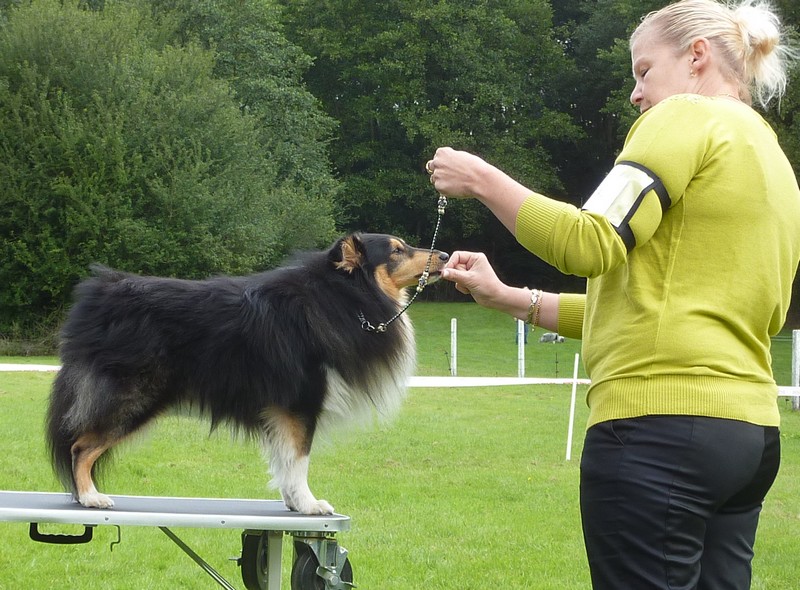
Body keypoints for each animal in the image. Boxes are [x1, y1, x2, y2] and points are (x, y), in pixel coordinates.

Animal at [47, 234, 450, 516]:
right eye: (396, 250)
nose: (446, 256)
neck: (344, 297)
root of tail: (101, 293)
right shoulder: (301, 402)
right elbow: (299, 458)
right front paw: (310, 504)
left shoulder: (279, 410)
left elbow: (284, 459)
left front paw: (292, 502)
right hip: (135, 395)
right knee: (80, 446)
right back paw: (91, 497)